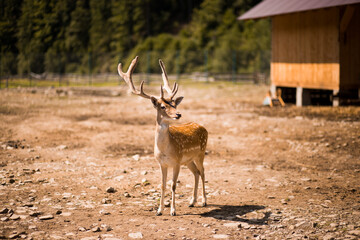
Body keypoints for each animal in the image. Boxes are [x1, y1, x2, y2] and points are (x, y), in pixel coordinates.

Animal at [118, 56, 208, 216]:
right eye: (162, 106)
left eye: (174, 104)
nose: (178, 114)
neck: (165, 150)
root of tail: (204, 128)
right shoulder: (161, 163)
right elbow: (162, 185)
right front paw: (159, 210)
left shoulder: (176, 161)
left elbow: (173, 185)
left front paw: (173, 210)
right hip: (188, 160)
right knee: (196, 173)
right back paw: (192, 202)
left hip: (200, 153)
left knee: (203, 172)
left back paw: (204, 201)